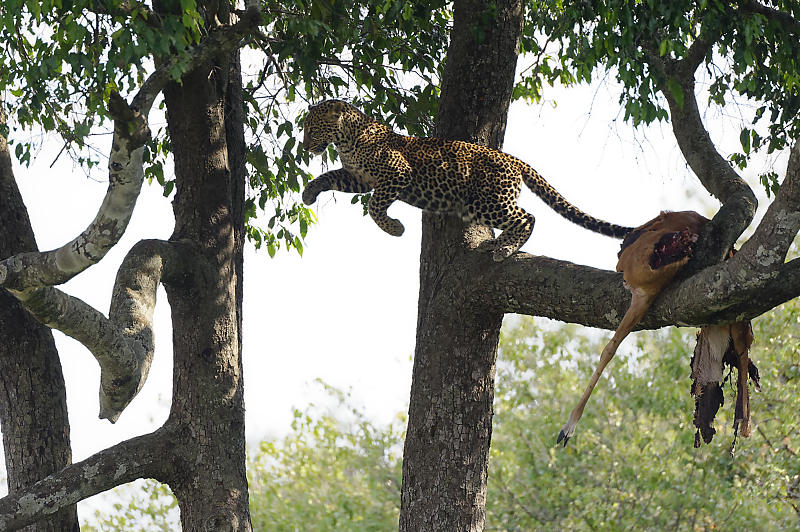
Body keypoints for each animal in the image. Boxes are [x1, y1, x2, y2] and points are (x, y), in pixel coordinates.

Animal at [300, 100, 632, 262]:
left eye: (311, 129)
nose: (304, 147)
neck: (346, 140)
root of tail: (514, 159)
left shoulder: (397, 173)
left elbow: (374, 206)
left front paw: (395, 228)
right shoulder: (357, 177)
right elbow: (329, 176)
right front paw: (308, 194)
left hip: (488, 202)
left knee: (528, 217)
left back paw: (505, 249)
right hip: (481, 205)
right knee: (521, 217)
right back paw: (497, 243)